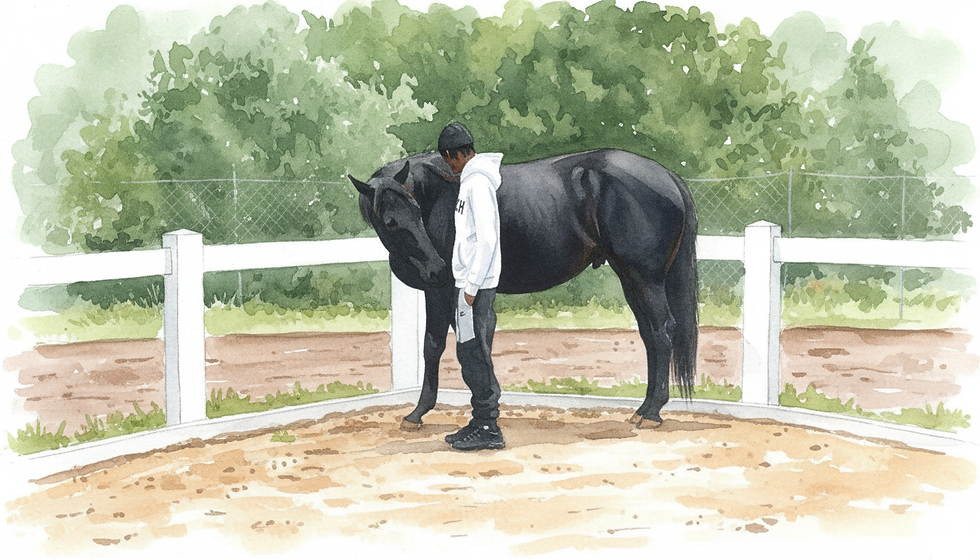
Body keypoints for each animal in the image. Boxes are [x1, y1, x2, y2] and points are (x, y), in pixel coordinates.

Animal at [348, 148, 698, 429]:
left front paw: (418, 413)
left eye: (416, 211)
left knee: (662, 331)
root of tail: (668, 175)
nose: (437, 267)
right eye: (391, 221)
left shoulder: (441, 290)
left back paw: (651, 413)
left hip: (645, 278)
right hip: (630, 278)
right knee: (650, 335)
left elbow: (434, 344)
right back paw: (643, 408)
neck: (441, 192)